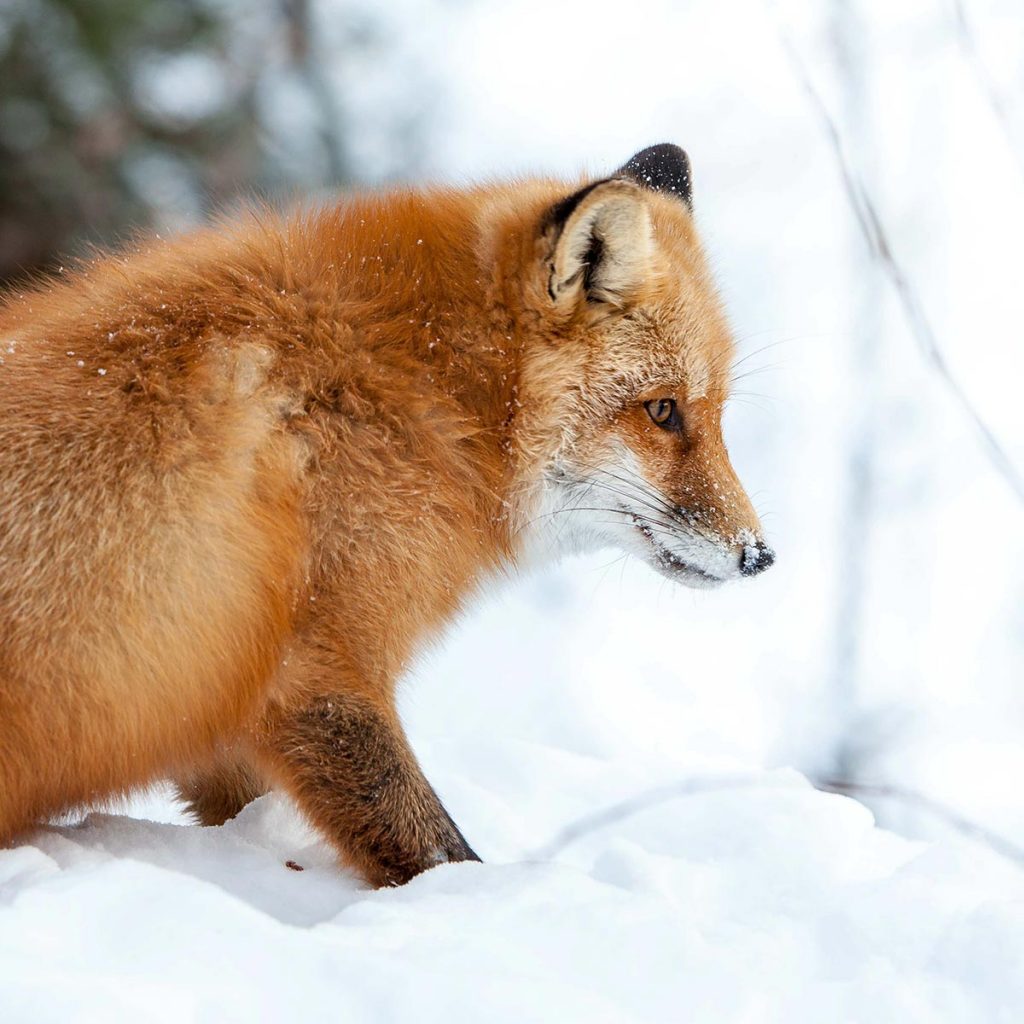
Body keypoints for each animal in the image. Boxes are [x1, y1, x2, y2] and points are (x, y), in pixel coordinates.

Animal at [0, 146, 770, 888]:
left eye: (716, 413)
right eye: (663, 410)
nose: (759, 556)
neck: (428, 385)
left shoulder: (209, 694)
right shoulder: (321, 675)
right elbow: (439, 852)